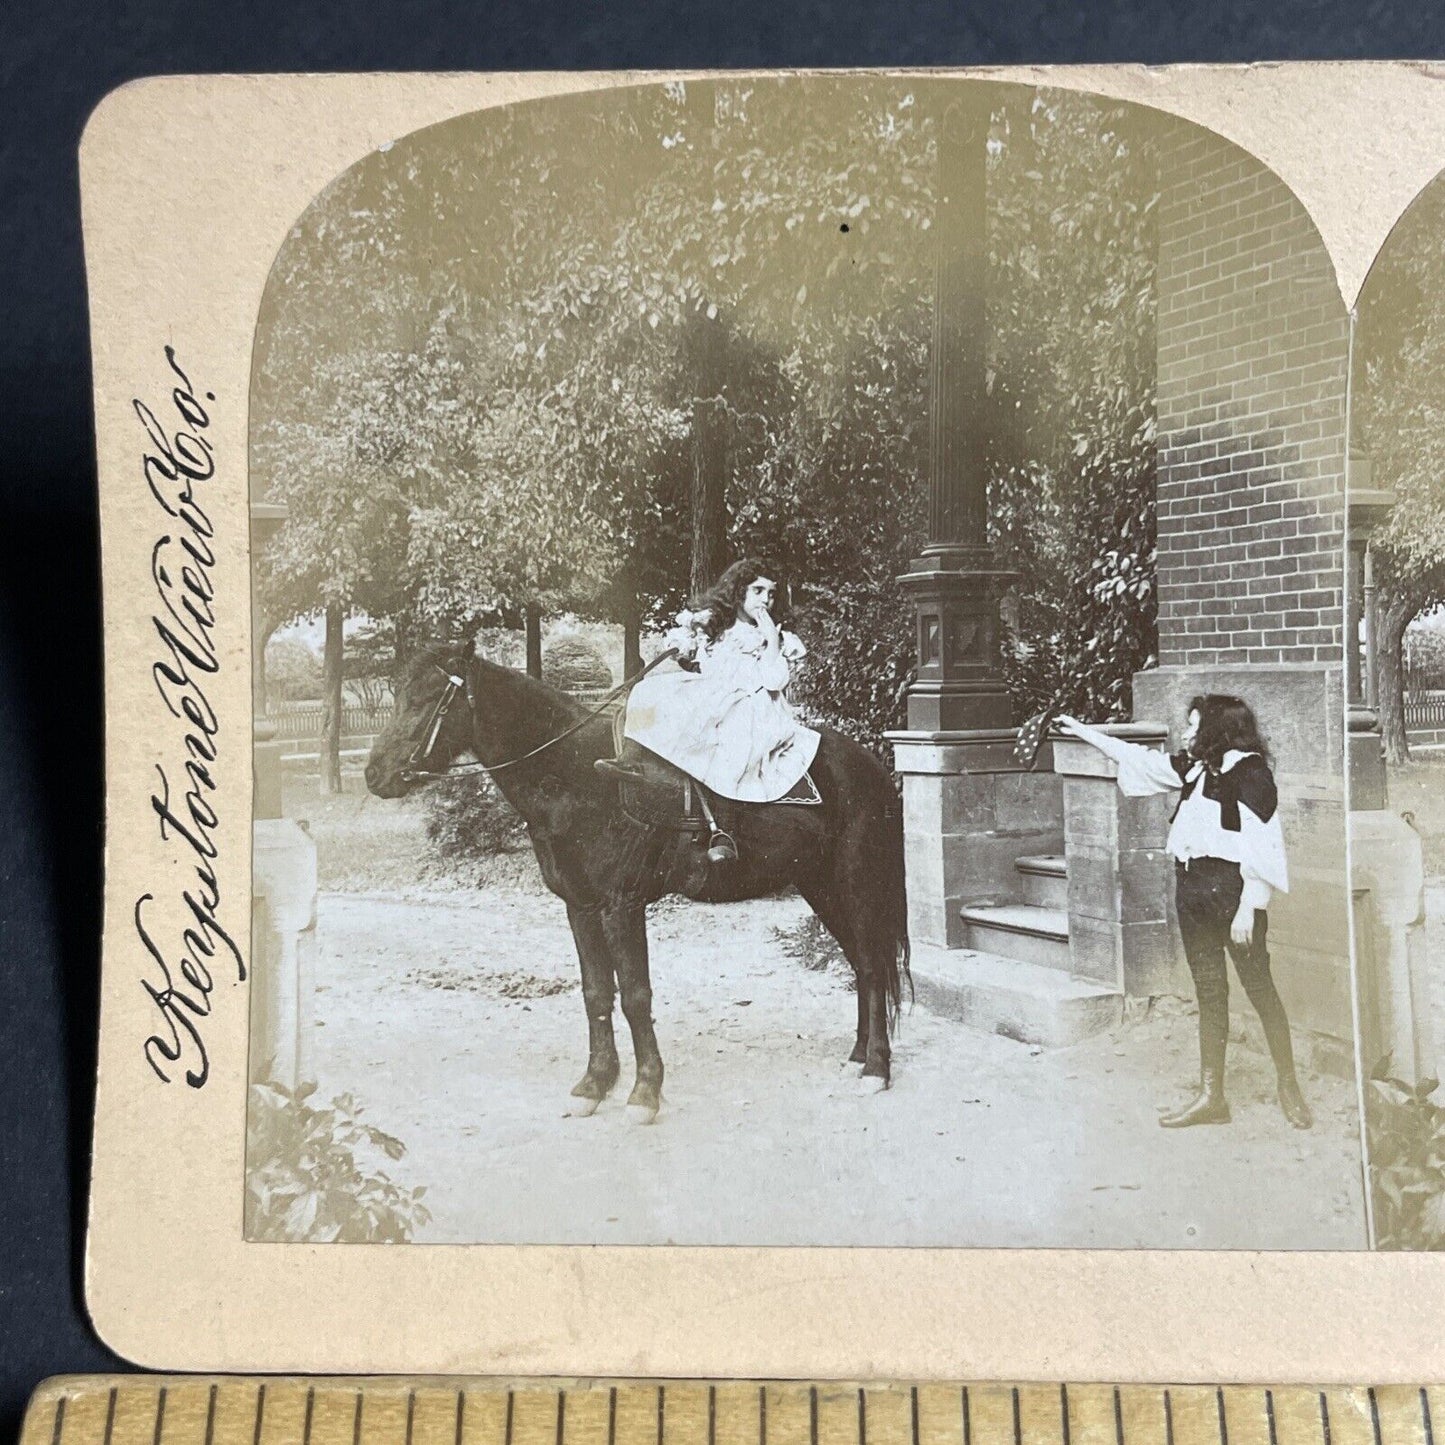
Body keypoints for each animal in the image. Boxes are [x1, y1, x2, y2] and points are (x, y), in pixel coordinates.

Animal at [369, 650, 913, 1121]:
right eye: (398, 693)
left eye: (427, 698)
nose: (375, 774)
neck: (578, 777)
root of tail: (871, 765)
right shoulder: (581, 906)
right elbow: (596, 993)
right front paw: (594, 1084)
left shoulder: (621, 905)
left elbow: (634, 995)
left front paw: (644, 1092)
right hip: (820, 887)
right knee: (862, 966)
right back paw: (858, 1056)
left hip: (857, 883)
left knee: (870, 965)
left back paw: (876, 1067)